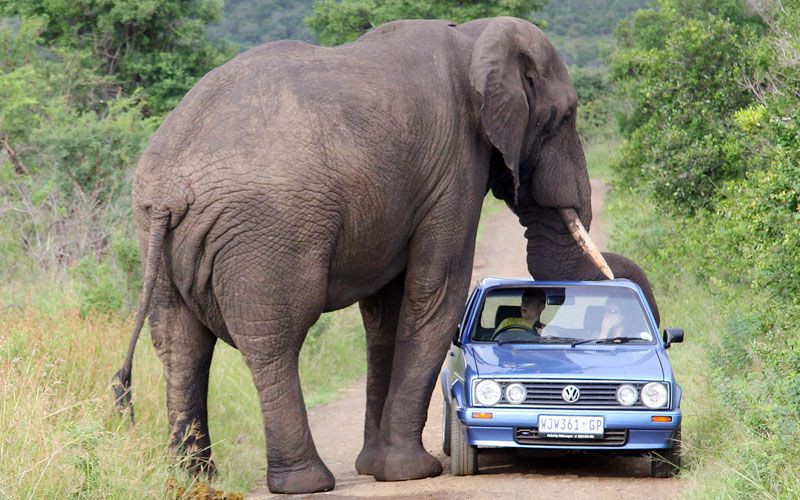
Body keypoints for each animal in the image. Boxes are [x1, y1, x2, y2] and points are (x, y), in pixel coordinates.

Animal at [114, 16, 656, 496]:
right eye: (565, 116)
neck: (473, 36)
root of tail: (169, 189)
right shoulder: (454, 166)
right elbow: (436, 291)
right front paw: (411, 473)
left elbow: (385, 314)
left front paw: (375, 468)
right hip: (266, 234)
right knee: (275, 339)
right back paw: (305, 484)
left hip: (156, 238)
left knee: (181, 344)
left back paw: (192, 481)